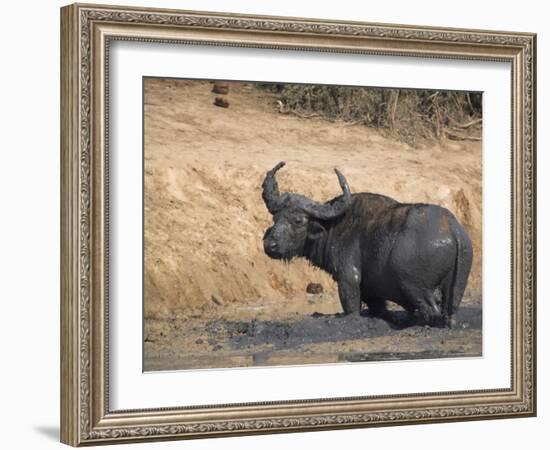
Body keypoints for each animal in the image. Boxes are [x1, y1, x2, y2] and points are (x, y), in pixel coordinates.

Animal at [264, 162, 474, 326]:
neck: (333, 226)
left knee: (430, 310)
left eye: (298, 220)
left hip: (413, 286)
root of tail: (454, 229)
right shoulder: (373, 292)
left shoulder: (348, 279)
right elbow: (377, 307)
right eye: (275, 218)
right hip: (457, 287)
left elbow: (351, 305)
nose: (270, 245)